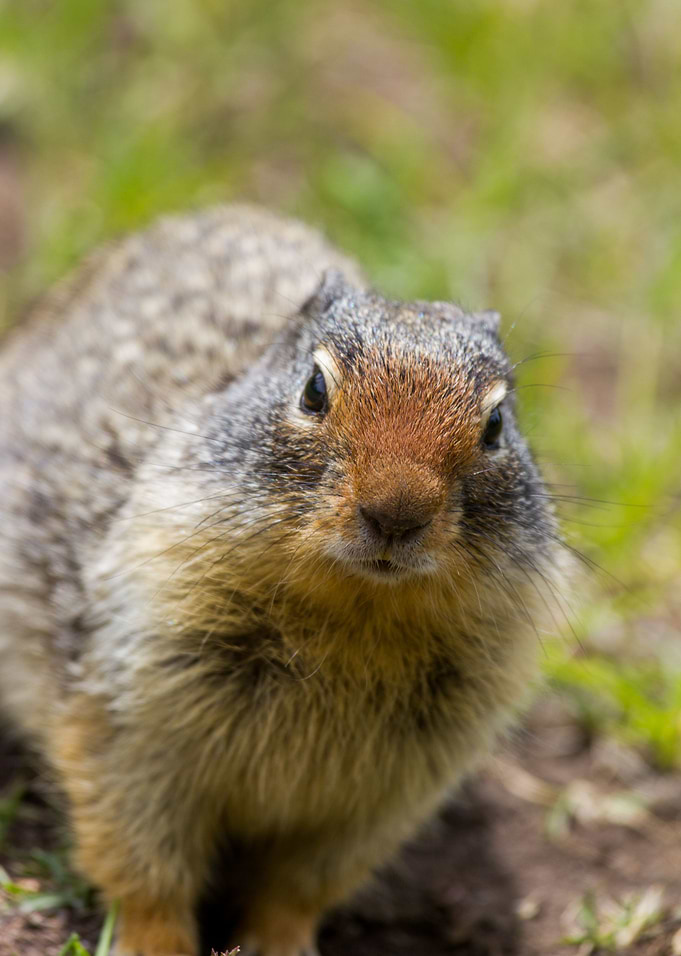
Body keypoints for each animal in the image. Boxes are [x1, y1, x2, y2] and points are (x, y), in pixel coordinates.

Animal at [0, 205, 569, 956]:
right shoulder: (130, 716)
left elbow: (300, 885)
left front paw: (282, 942)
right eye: (313, 390)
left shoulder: (389, 793)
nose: (397, 512)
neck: (357, 616)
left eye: (497, 424)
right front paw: (156, 943)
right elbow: (141, 859)